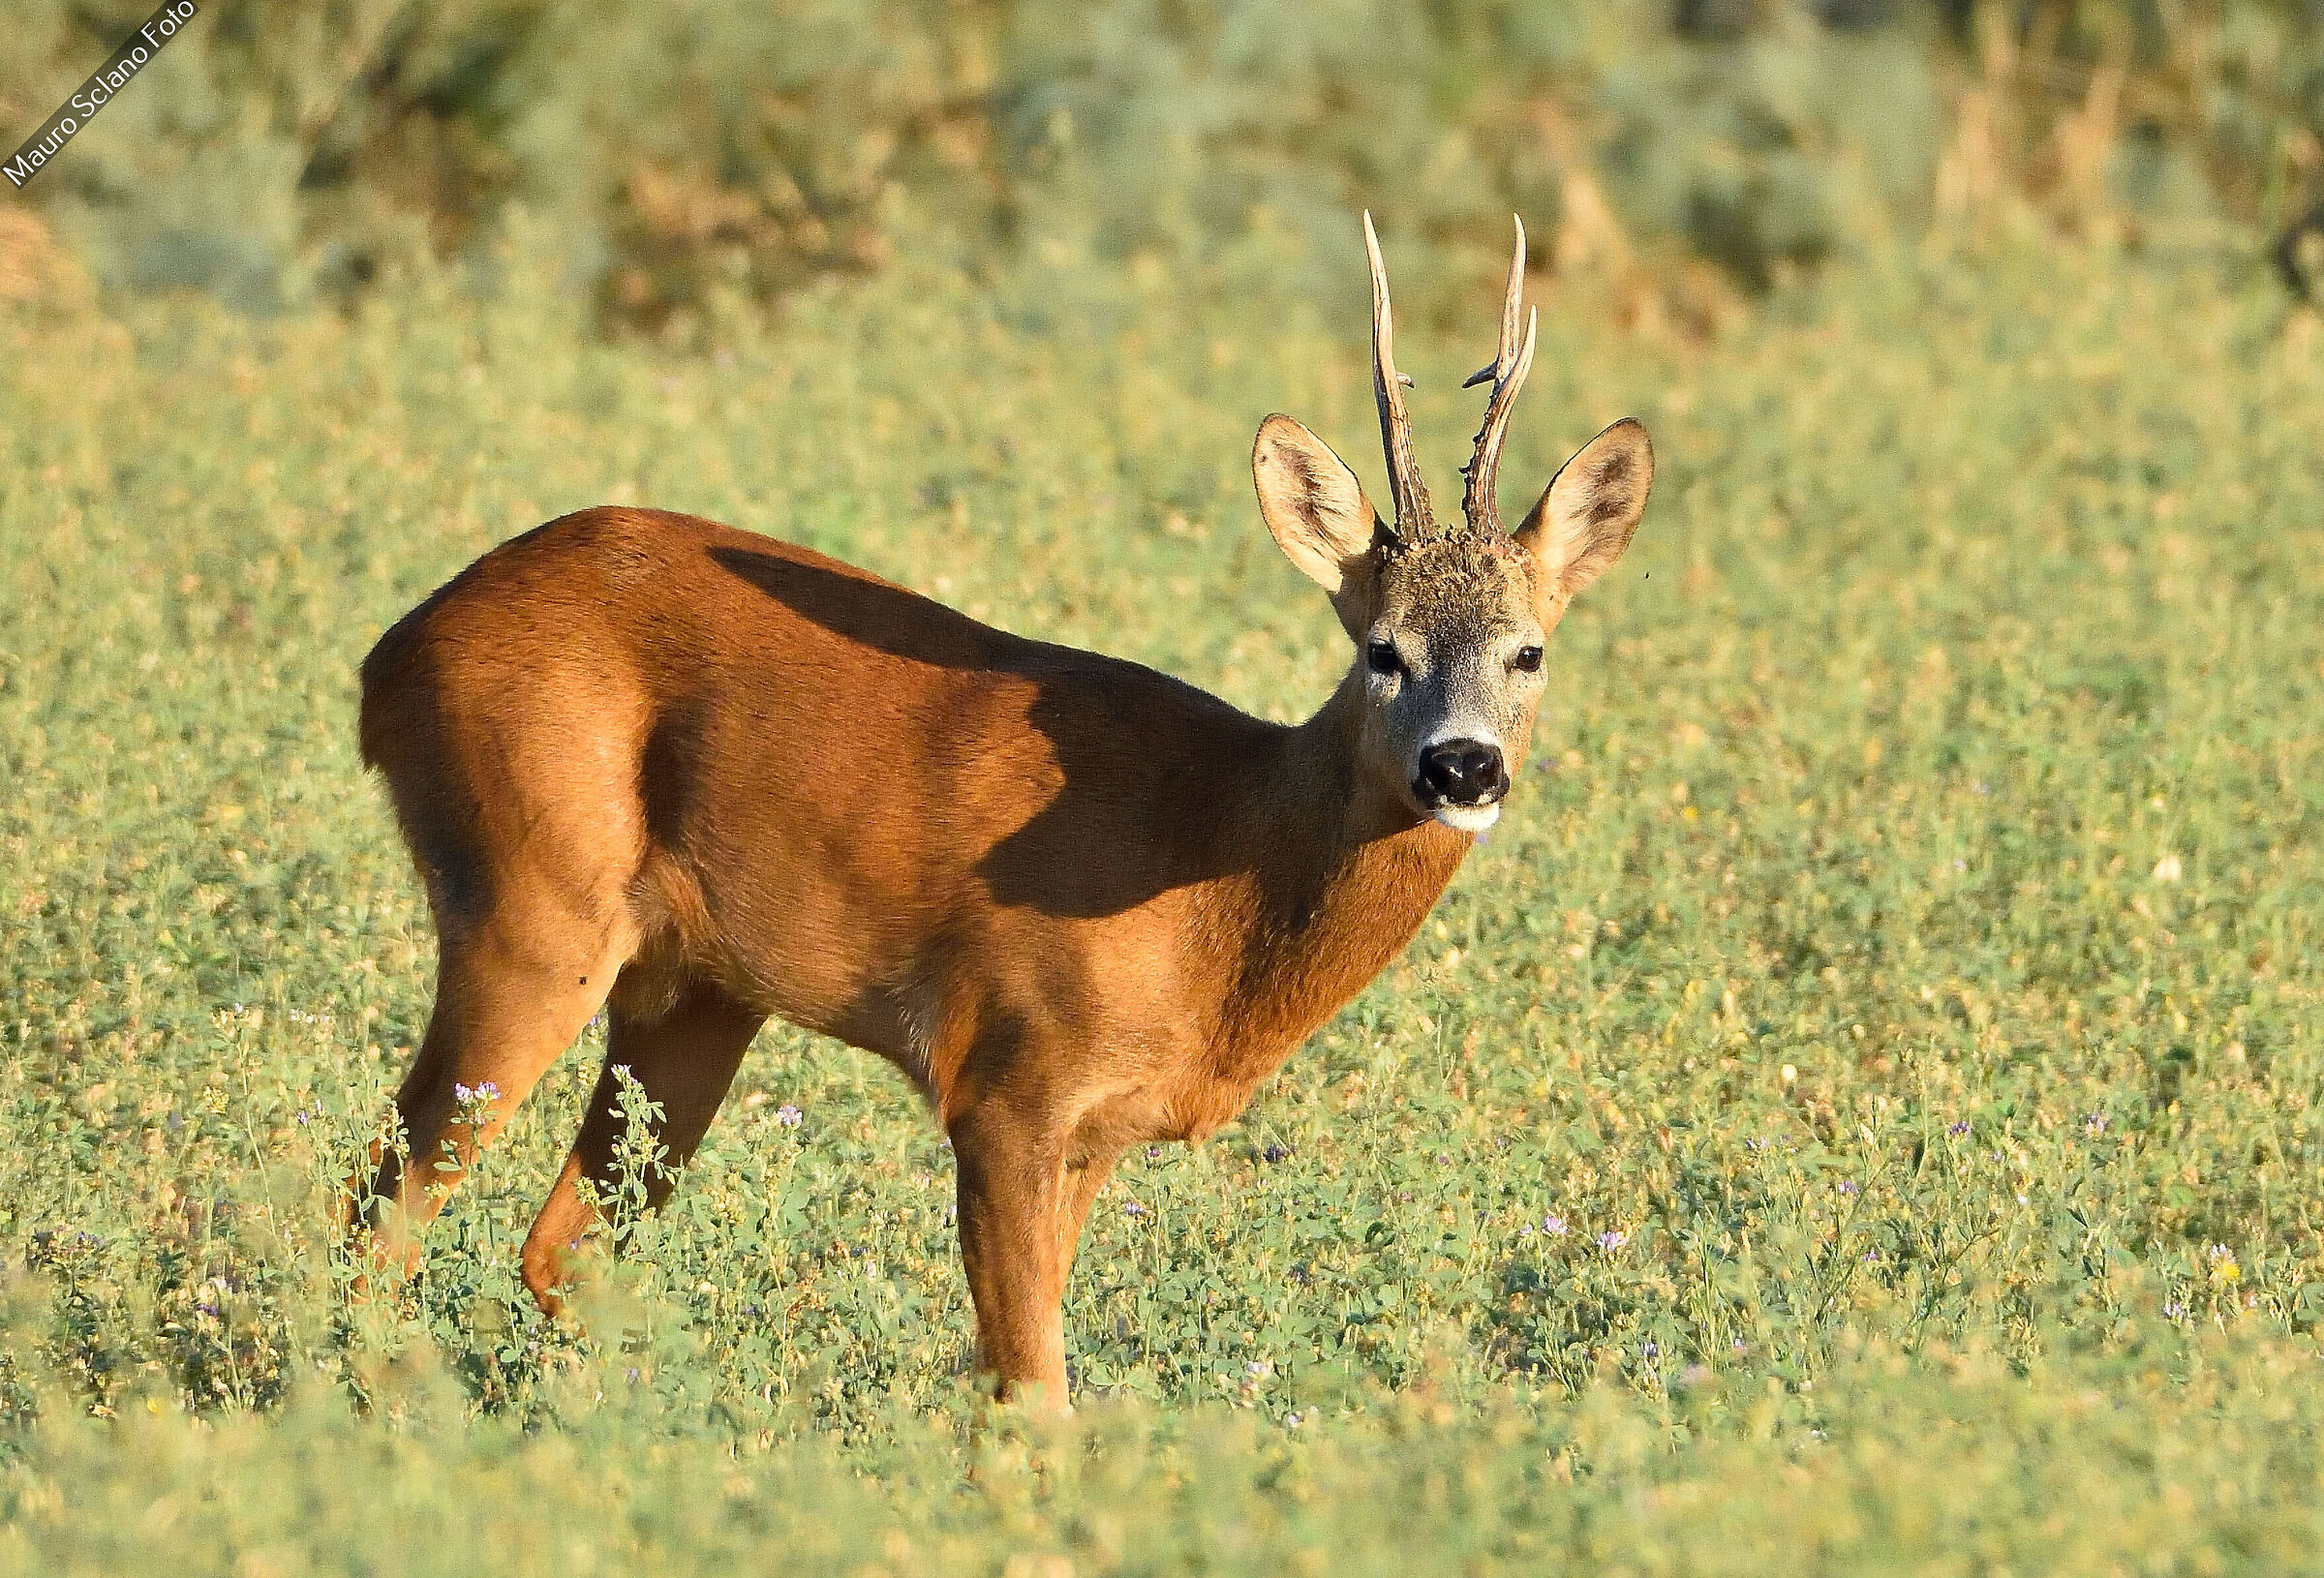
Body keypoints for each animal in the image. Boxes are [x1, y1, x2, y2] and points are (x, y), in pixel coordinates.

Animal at [346, 214, 1652, 1407]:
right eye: (1383, 649)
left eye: (1529, 651)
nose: (1462, 766)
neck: (1221, 881)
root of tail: (392, 653)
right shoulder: (1007, 1083)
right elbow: (1034, 1396)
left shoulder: (1093, 1134)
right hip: (530, 905)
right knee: (382, 1209)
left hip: (691, 990)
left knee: (551, 1246)